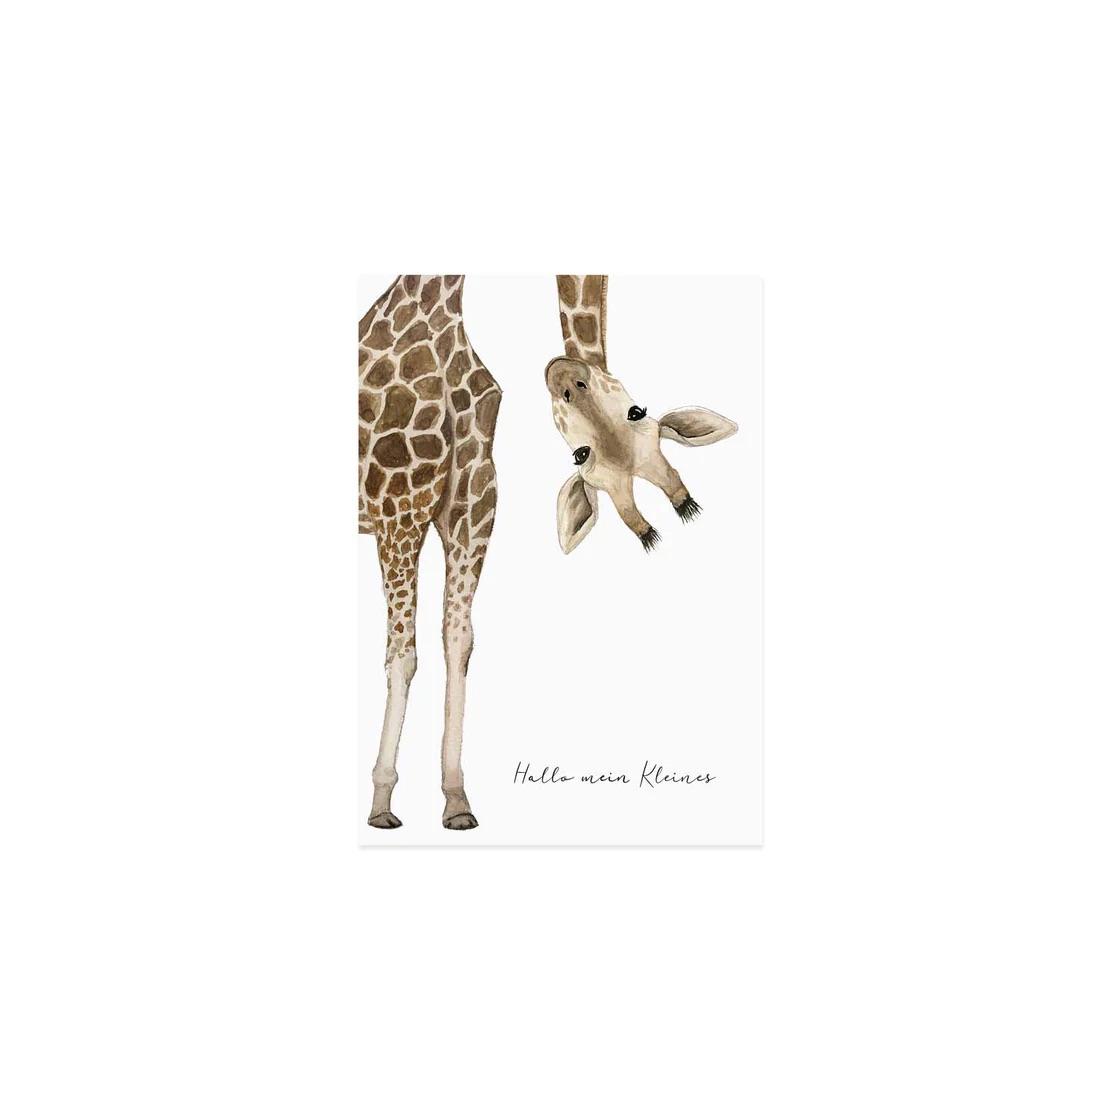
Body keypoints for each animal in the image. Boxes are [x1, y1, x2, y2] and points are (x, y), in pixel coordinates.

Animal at [359, 275, 500, 830]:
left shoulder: (472, 508)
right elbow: (402, 654)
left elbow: (458, 640)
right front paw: (381, 801)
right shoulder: (395, 509)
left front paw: (457, 799)